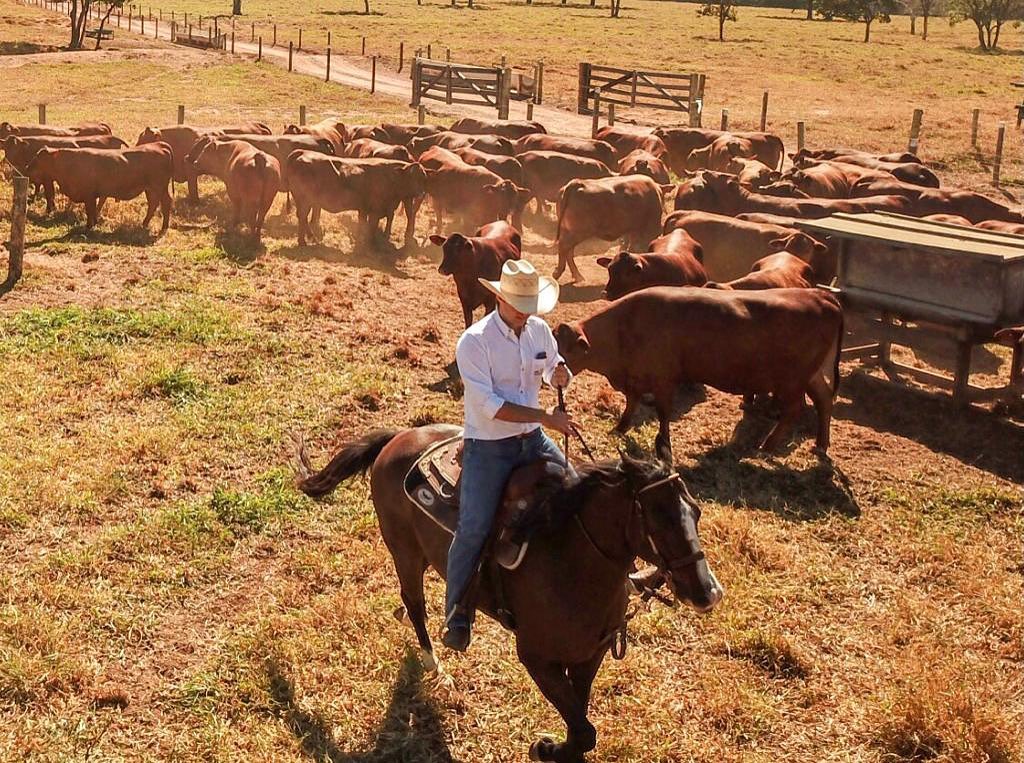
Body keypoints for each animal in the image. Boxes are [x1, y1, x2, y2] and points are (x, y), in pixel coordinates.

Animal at [25, 142, 172, 232]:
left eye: (38, 158)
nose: (27, 167)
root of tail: (159, 145)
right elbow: (93, 210)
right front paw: (94, 223)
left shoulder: (89, 195)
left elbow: (90, 210)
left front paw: (89, 226)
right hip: (153, 189)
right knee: (157, 204)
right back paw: (153, 225)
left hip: (157, 187)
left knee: (161, 203)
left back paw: (155, 226)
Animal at [286, 153, 425, 248]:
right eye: (413, 177)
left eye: (423, 177)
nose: (421, 193)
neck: (390, 175)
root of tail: (302, 152)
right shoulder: (375, 210)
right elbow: (371, 226)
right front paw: (371, 244)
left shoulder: (365, 209)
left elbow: (363, 224)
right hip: (305, 200)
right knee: (302, 216)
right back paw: (304, 241)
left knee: (302, 217)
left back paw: (309, 238)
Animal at [296, 421, 724, 761]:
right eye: (659, 518)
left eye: (697, 511)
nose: (707, 593)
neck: (570, 558)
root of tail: (399, 436)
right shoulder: (536, 658)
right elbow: (583, 730)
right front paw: (545, 748)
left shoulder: (591, 654)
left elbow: (581, 721)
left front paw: (558, 747)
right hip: (404, 550)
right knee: (414, 604)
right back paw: (438, 666)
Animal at [557, 286, 843, 458]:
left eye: (566, 350)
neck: (624, 326)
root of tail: (820, 295)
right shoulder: (636, 379)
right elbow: (632, 402)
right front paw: (620, 427)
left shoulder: (663, 379)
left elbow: (662, 412)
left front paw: (663, 444)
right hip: (811, 377)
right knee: (824, 401)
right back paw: (820, 445)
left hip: (791, 382)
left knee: (795, 409)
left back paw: (767, 445)